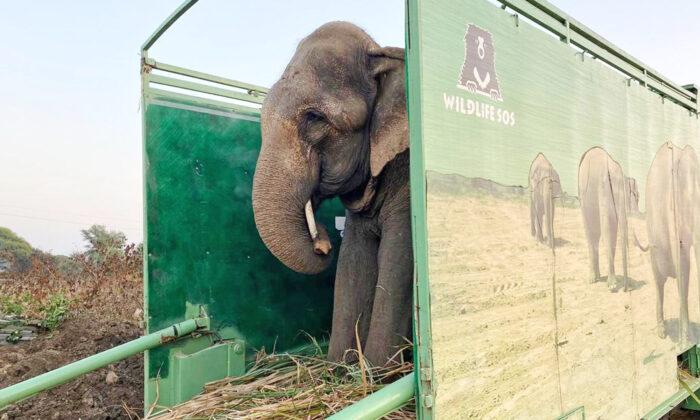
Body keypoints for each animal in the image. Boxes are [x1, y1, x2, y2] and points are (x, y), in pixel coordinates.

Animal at [254, 22, 412, 368]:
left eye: (314, 117)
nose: (323, 242)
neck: (381, 53)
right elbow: (353, 261)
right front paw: (341, 368)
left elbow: (397, 257)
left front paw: (378, 372)